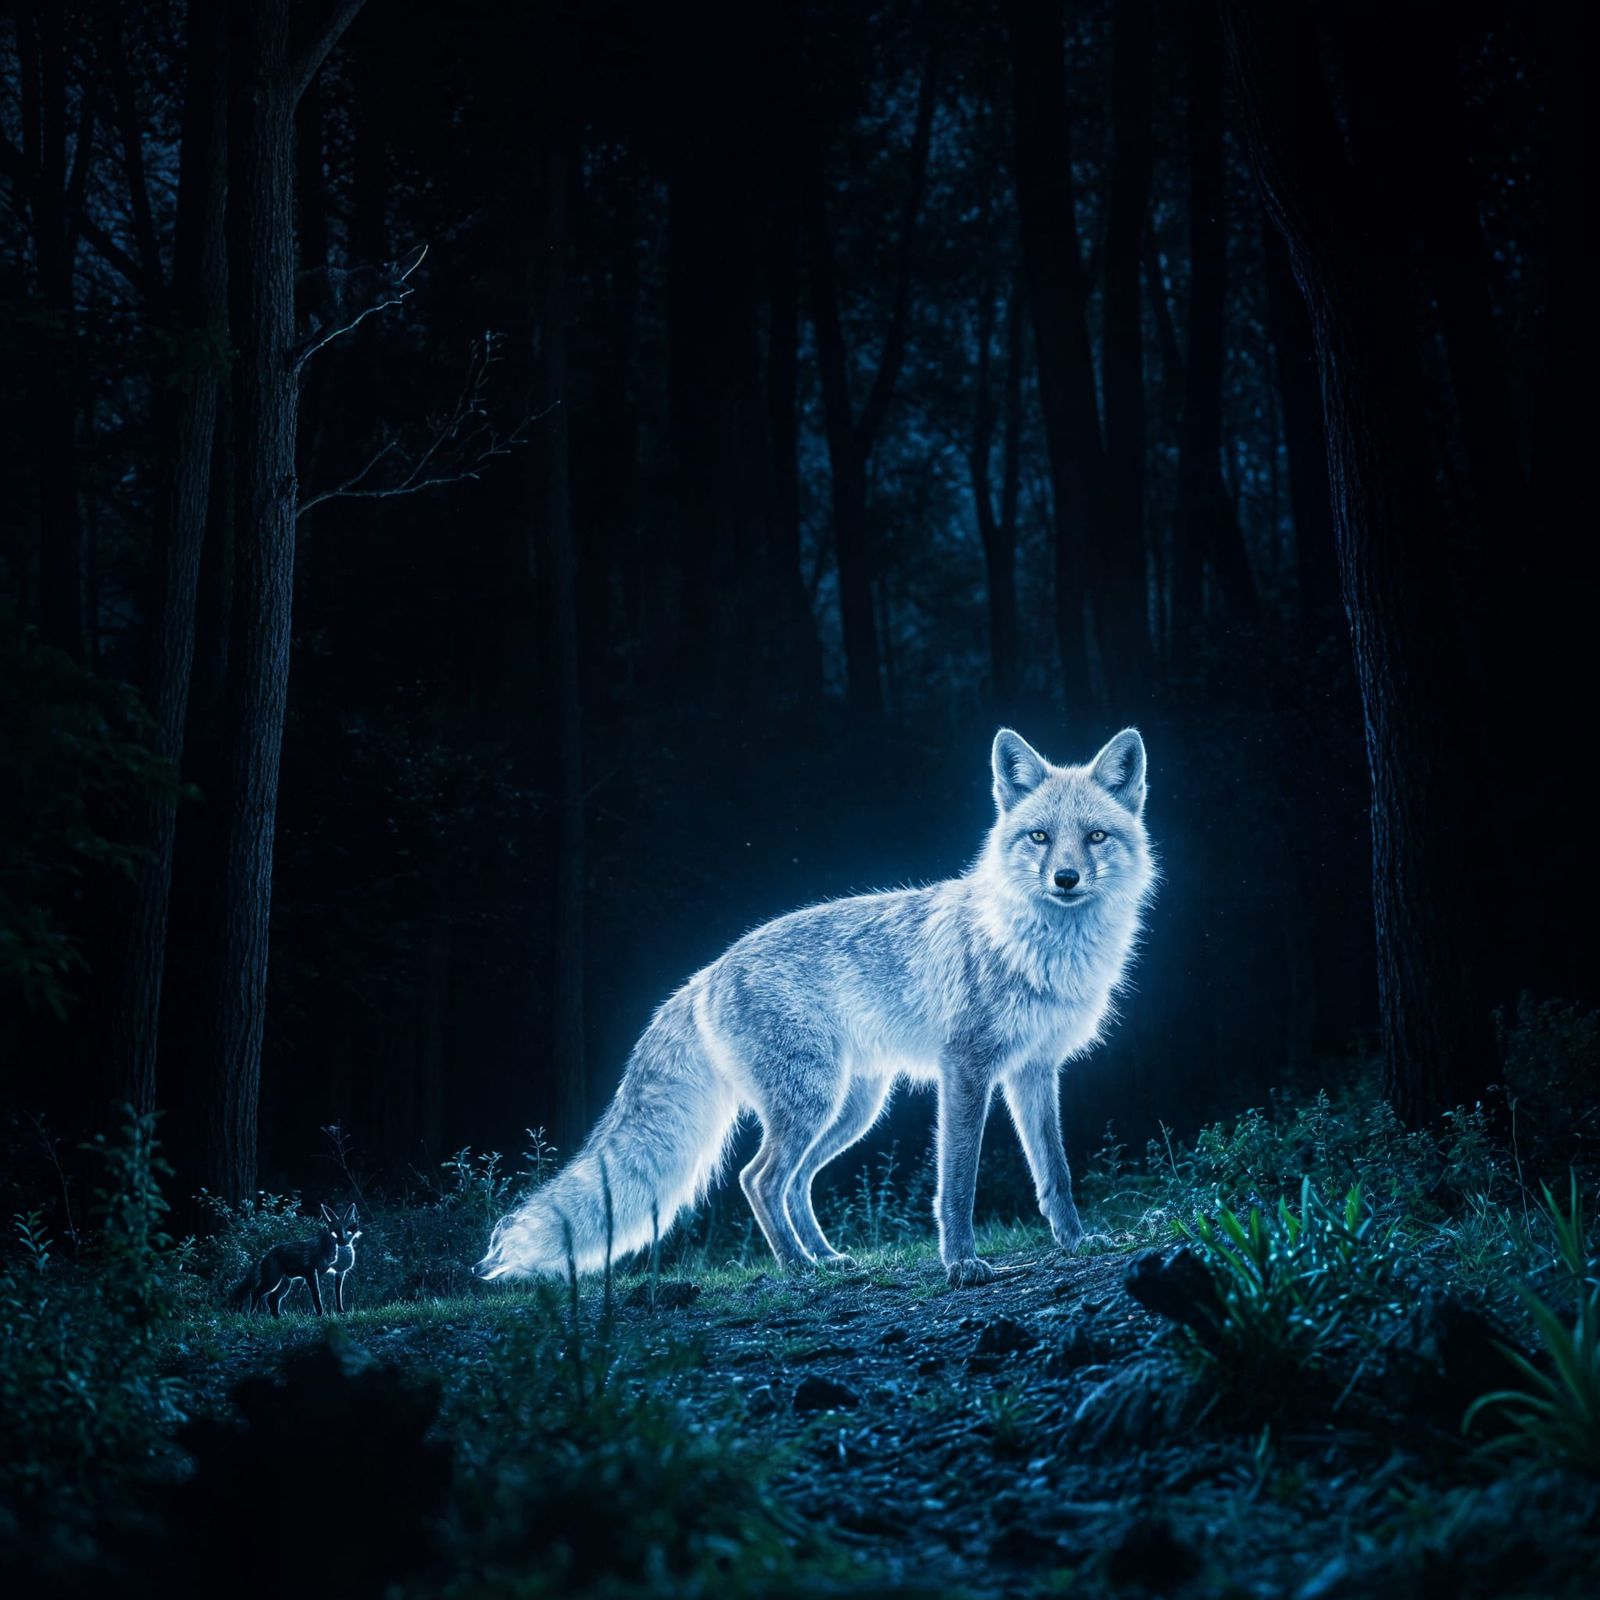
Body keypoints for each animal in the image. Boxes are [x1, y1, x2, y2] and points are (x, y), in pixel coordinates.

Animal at [229, 1203, 362, 1317]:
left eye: (348, 1230)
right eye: (334, 1232)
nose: (341, 1242)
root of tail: (264, 1256)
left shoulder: (340, 1273)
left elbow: (338, 1295)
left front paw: (341, 1312)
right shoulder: (311, 1273)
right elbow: (317, 1296)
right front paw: (320, 1315)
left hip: (285, 1283)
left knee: (272, 1299)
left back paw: (278, 1318)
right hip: (272, 1281)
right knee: (255, 1293)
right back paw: (251, 1316)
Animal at [474, 728, 1155, 1288]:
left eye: (1094, 836)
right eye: (1039, 837)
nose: (1065, 879)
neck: (1036, 948)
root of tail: (706, 973)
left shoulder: (1034, 1070)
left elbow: (1055, 1174)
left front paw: (1076, 1242)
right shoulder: (966, 1070)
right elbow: (956, 1184)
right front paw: (961, 1264)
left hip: (850, 1110)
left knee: (793, 1182)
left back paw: (823, 1258)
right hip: (813, 1104)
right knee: (758, 1178)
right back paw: (796, 1267)